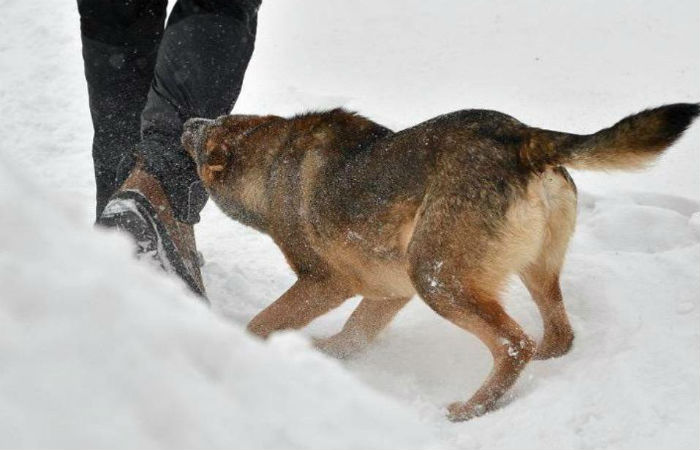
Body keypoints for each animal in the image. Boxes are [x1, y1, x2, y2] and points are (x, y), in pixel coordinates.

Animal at [182, 103, 700, 420]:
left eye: (204, 139)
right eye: (217, 119)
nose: (187, 122)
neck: (270, 163)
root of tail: (521, 137)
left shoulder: (326, 282)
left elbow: (262, 323)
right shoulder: (388, 292)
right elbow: (351, 336)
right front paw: (321, 358)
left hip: (436, 279)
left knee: (515, 344)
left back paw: (471, 409)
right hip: (529, 271)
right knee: (556, 335)